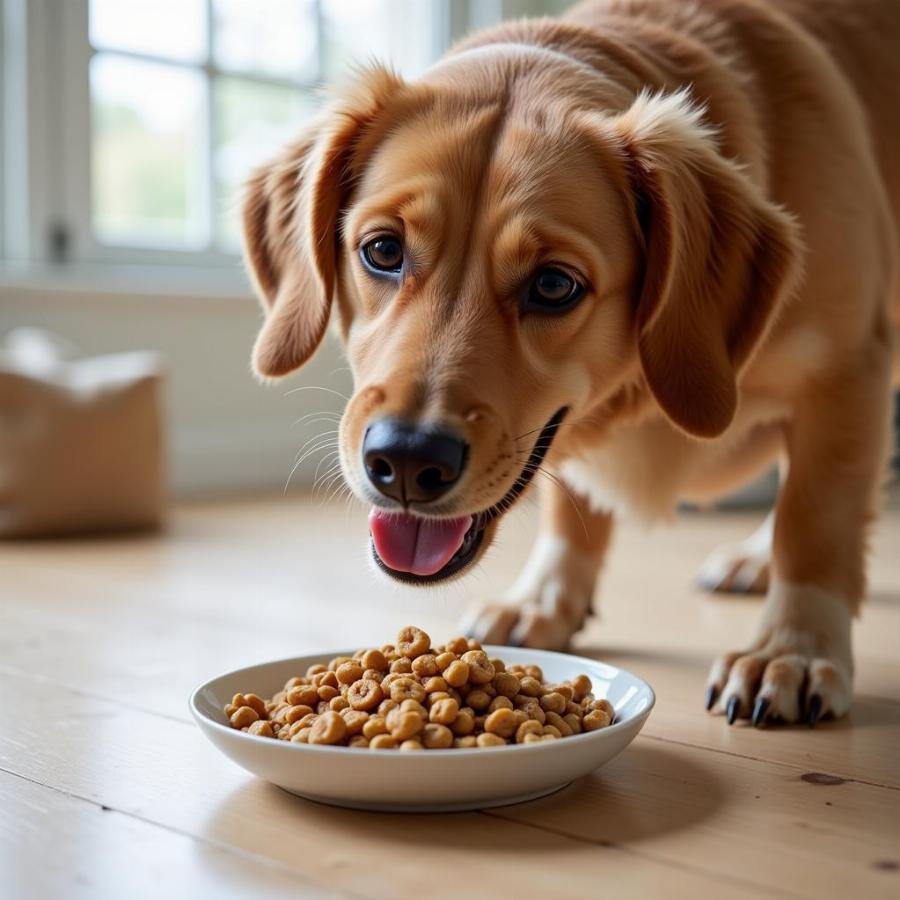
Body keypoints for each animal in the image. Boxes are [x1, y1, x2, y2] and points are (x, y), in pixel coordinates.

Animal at [241, 0, 900, 728]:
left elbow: (815, 523)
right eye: (382, 250)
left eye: (555, 285)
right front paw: (547, 598)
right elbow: (571, 508)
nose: (406, 463)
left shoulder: (846, 375)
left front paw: (793, 649)